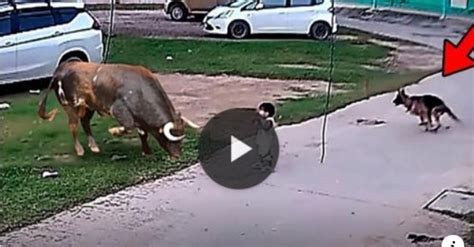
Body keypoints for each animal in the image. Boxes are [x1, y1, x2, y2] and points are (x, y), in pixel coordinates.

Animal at [37, 61, 198, 158]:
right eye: (168, 138)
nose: (177, 155)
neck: (140, 90)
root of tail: (61, 68)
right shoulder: (119, 110)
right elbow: (129, 127)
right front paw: (114, 131)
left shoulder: (140, 118)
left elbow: (143, 134)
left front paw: (147, 151)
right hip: (69, 105)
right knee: (73, 126)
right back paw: (80, 150)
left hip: (88, 107)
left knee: (85, 123)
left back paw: (94, 147)